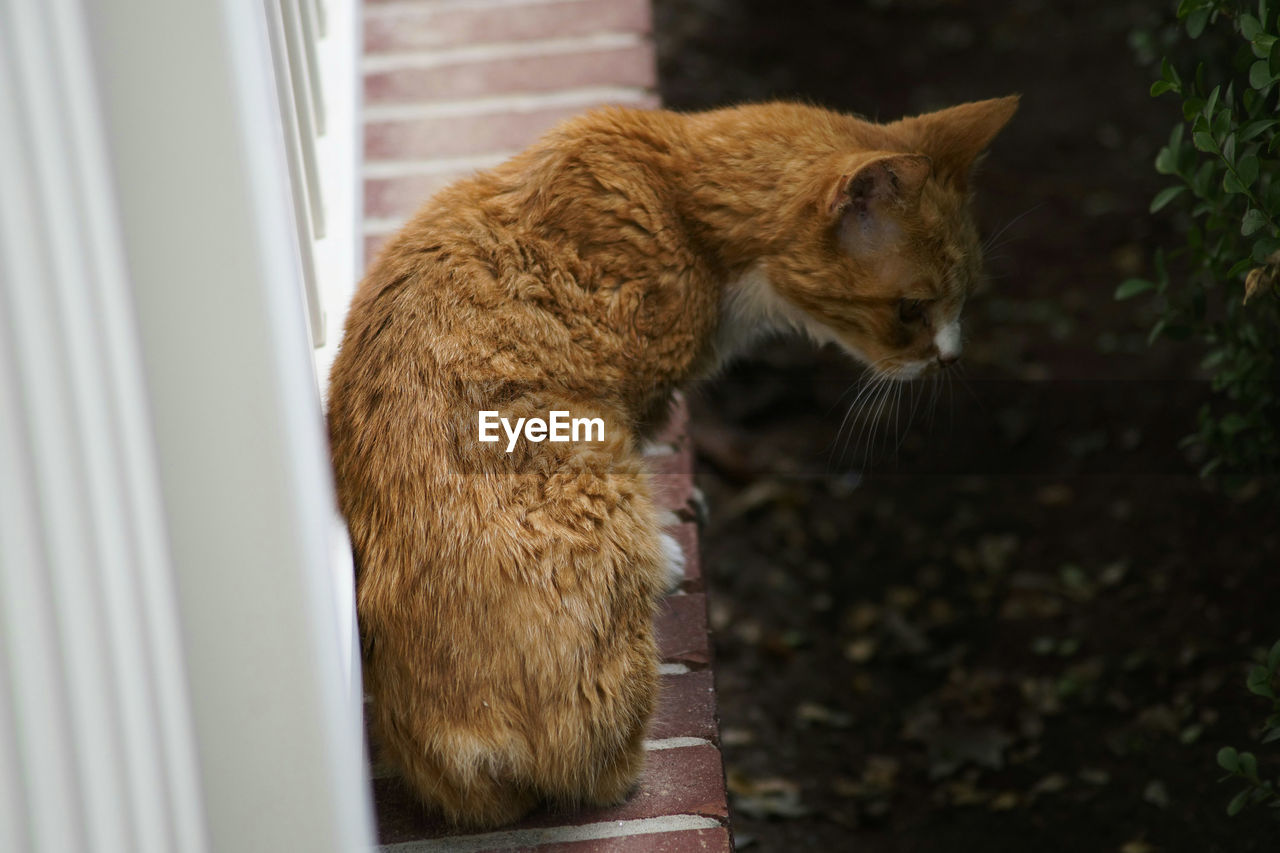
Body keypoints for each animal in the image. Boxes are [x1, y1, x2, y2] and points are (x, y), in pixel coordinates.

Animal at [327, 96, 1018, 824]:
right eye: (911, 310)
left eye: (968, 295)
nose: (949, 357)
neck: (682, 201)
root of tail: (454, 733)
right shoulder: (634, 403)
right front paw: (670, 551)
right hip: (598, 480)